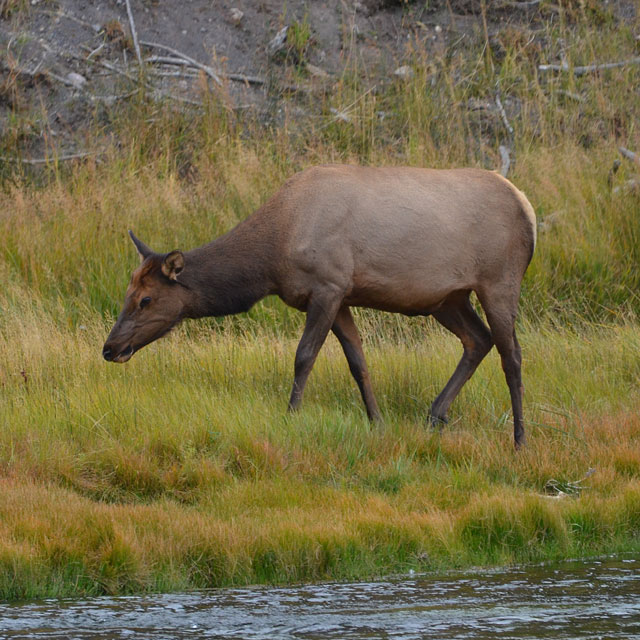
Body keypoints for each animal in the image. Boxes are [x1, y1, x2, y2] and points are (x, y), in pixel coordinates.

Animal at [104, 164, 536, 444]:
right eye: (125, 295)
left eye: (145, 299)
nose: (110, 348)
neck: (271, 256)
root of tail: (528, 208)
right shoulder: (341, 295)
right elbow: (358, 362)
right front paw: (377, 422)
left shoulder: (327, 285)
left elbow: (304, 355)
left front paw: (292, 415)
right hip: (447, 298)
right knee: (478, 340)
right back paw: (435, 414)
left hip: (499, 280)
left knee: (511, 354)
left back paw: (519, 437)